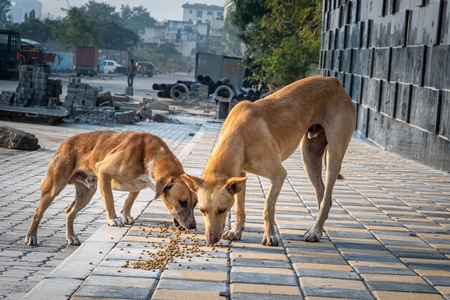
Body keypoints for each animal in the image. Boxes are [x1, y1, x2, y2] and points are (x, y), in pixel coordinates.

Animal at [25, 129, 197, 246]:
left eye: (195, 204)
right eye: (182, 202)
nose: (193, 226)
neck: (153, 155)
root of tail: (65, 142)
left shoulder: (138, 184)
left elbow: (130, 199)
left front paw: (126, 216)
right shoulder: (103, 171)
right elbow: (110, 199)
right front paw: (113, 219)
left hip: (87, 192)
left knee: (70, 212)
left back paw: (71, 236)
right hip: (54, 187)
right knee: (38, 212)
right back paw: (31, 236)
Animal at [181, 77, 356, 246]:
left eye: (222, 210)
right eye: (202, 210)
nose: (210, 240)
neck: (239, 134)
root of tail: (334, 81)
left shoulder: (279, 175)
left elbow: (268, 206)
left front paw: (270, 235)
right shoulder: (240, 174)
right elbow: (239, 206)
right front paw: (236, 231)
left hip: (333, 157)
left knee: (327, 196)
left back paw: (315, 231)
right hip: (309, 156)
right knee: (323, 196)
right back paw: (318, 229)